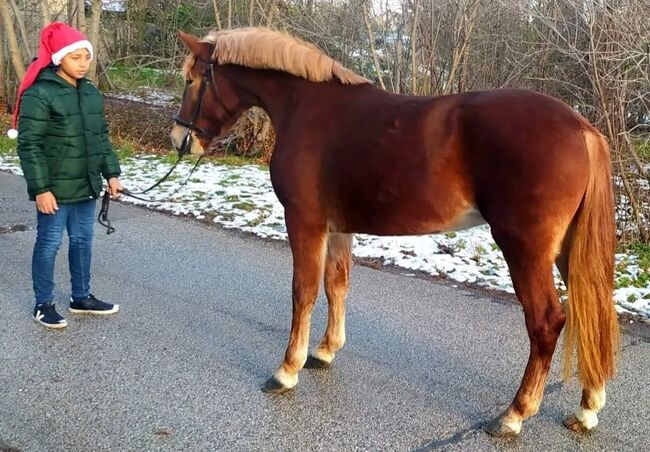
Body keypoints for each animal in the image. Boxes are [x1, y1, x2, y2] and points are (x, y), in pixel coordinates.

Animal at [168, 28, 616, 438]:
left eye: (191, 79)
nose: (179, 138)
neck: (306, 106)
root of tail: (582, 128)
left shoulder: (304, 221)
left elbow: (303, 291)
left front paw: (286, 369)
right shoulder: (337, 228)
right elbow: (336, 284)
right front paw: (325, 351)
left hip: (525, 249)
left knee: (547, 322)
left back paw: (515, 414)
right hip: (566, 248)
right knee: (593, 310)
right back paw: (587, 408)